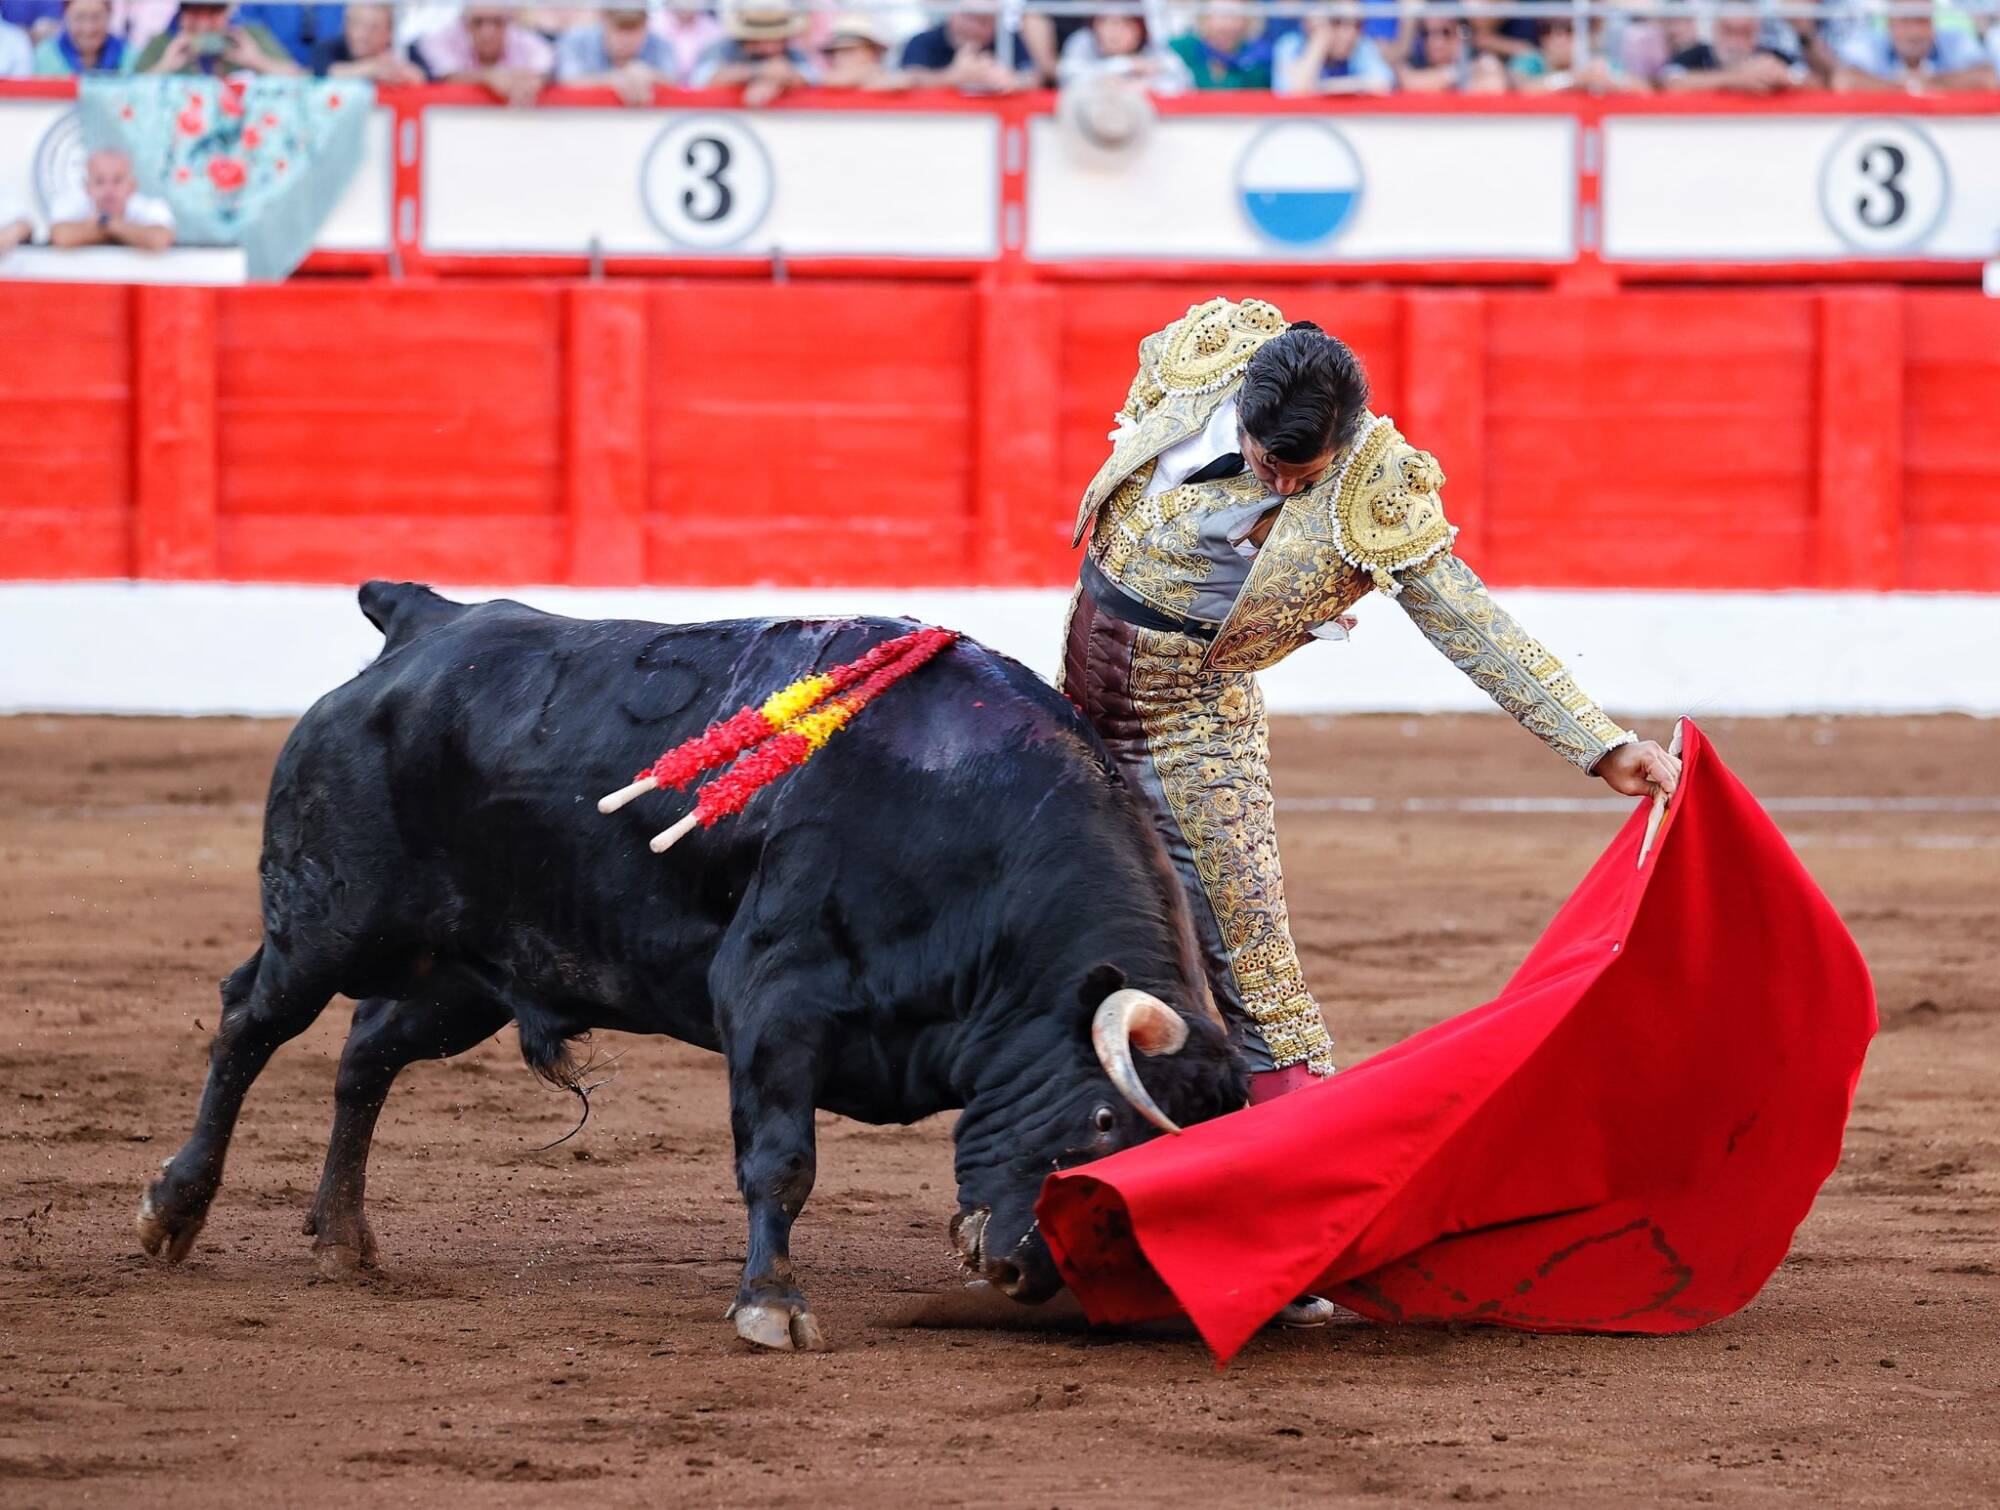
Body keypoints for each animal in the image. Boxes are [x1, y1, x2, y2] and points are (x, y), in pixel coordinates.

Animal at [133, 584, 1240, 1352]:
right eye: (1103, 1123)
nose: (1020, 1272)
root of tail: (422, 624)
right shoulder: (772, 1000)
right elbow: (782, 1161)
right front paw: (771, 1307)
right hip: (330, 923)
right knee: (249, 1021)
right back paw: (172, 1211)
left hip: (465, 975)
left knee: (365, 1054)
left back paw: (342, 1240)